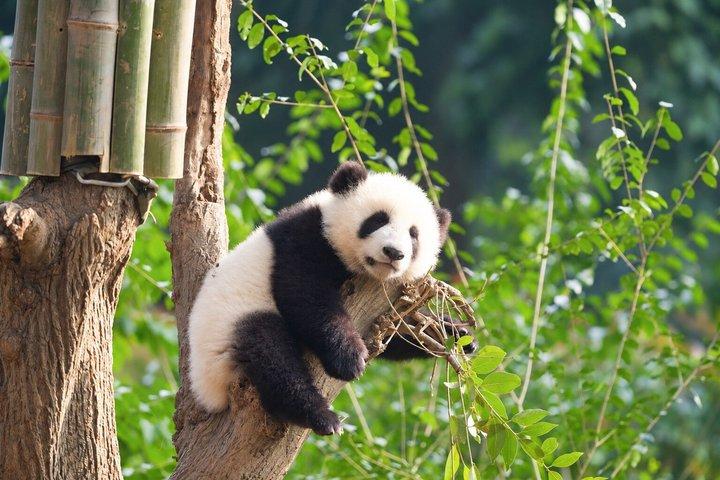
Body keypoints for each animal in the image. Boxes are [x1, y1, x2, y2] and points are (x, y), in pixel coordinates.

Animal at [188, 162, 470, 435]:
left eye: (414, 234)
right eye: (377, 220)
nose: (393, 252)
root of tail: (207, 393)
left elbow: (398, 334)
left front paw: (456, 334)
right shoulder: (306, 237)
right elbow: (306, 294)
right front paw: (349, 359)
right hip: (228, 331)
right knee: (270, 354)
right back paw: (320, 416)